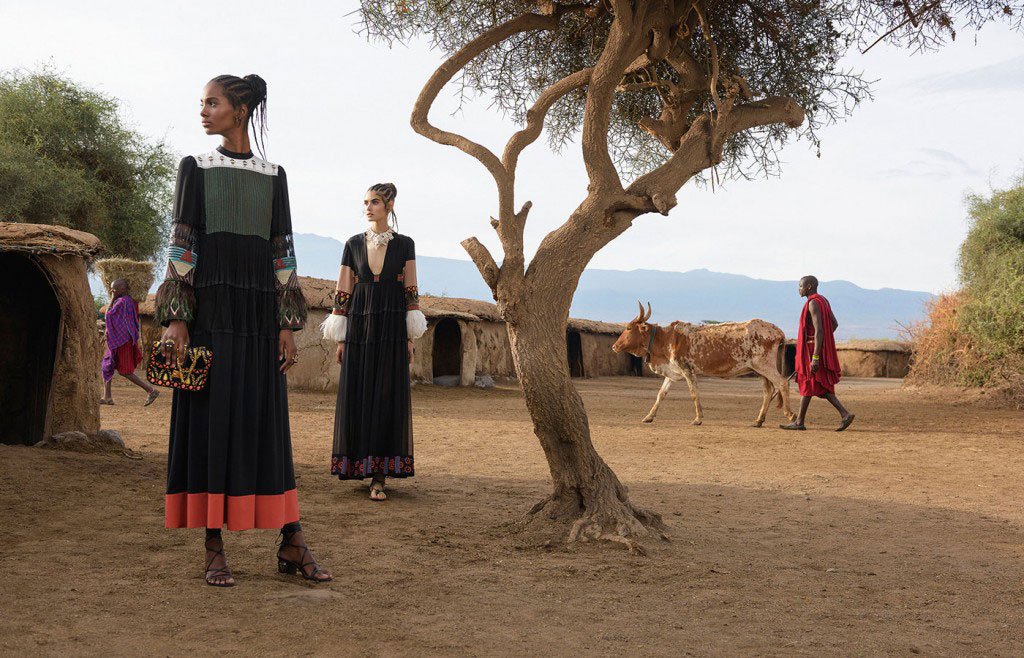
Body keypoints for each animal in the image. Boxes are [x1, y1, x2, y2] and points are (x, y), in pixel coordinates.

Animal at [610, 302, 794, 427]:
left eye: (628, 328)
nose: (614, 346)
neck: (665, 339)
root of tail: (777, 331)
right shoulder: (673, 372)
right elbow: (661, 394)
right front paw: (649, 416)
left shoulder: (687, 371)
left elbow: (694, 393)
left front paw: (698, 418)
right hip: (759, 370)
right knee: (768, 390)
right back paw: (758, 420)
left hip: (765, 366)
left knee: (782, 383)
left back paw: (790, 415)